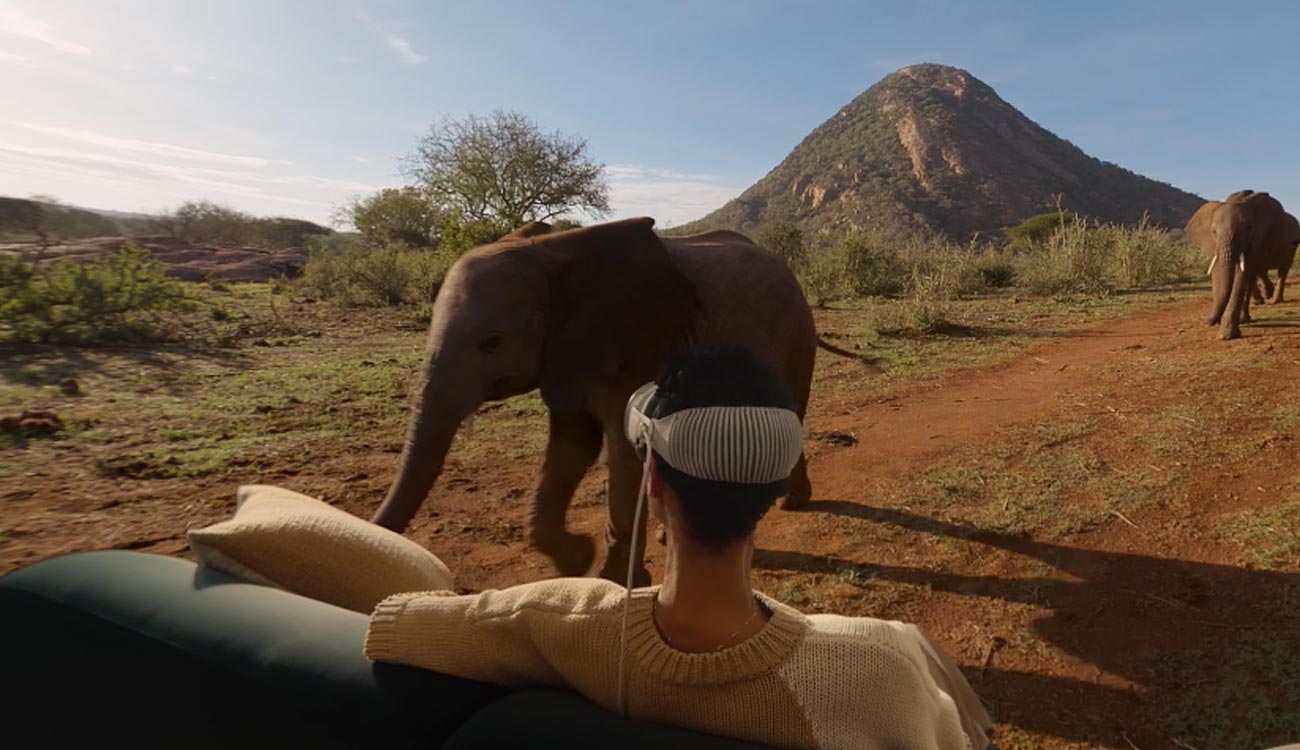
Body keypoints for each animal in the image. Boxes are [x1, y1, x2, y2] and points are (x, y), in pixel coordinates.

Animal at [371, 215, 847, 584]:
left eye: (492, 342)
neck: (548, 257)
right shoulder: (568, 355)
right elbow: (570, 447)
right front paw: (577, 562)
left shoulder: (633, 346)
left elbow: (622, 449)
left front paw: (616, 581)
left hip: (796, 336)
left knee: (790, 410)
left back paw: (790, 503)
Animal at [1185, 188, 1294, 337]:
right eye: (1213, 231)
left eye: (1249, 228)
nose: (1209, 322)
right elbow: (1218, 272)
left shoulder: (1259, 239)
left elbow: (1243, 274)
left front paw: (1226, 335)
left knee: (1279, 270)